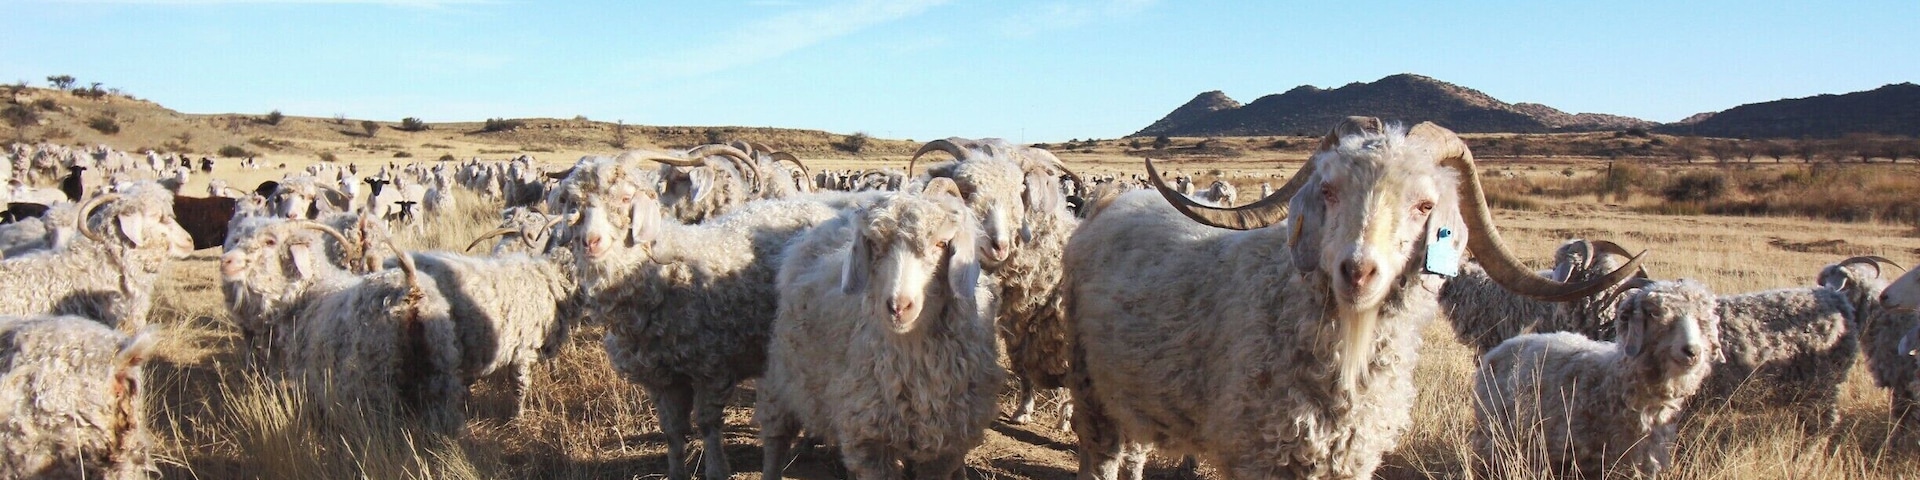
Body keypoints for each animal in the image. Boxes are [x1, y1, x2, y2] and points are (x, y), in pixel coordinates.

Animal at [218, 219, 465, 433]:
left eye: (270, 241)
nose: (226, 262)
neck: (308, 292)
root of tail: (410, 287)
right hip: (439, 371)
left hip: (379, 385)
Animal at [561, 154, 855, 480]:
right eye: (574, 202)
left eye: (626, 198)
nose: (591, 242)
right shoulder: (661, 379)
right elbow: (672, 432)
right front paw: (676, 472)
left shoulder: (712, 367)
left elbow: (707, 423)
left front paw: (716, 469)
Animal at [758, 179, 1003, 480]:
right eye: (874, 244)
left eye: (941, 243)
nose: (898, 306)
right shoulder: (868, 438)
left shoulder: (944, 446)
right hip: (782, 374)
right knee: (776, 438)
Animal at [1061, 118, 1643, 479]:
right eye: (1329, 189)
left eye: (1423, 205)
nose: (1357, 271)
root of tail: (1110, 204)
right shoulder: (1259, 453)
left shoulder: (1348, 460)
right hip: (1090, 389)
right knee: (1100, 457)